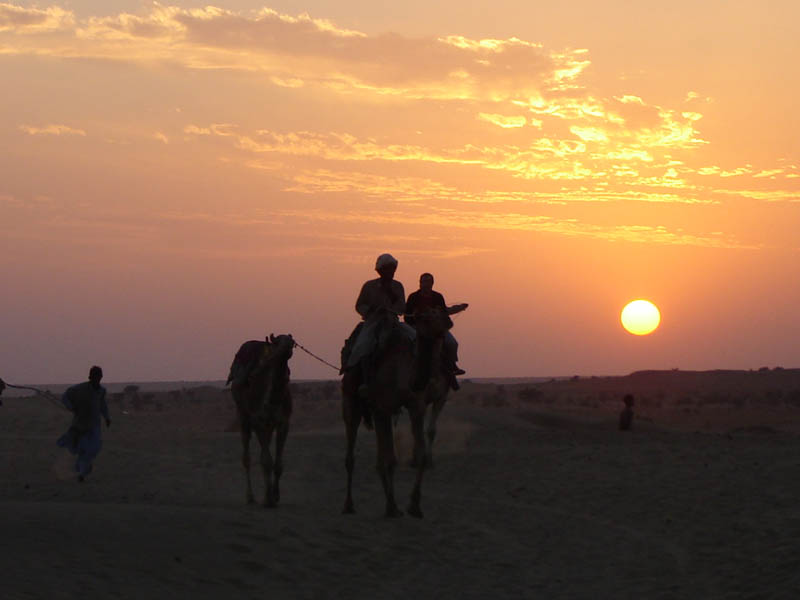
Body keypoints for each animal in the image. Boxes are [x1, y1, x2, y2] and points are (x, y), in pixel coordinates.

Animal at [228, 332, 294, 506]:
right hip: (243, 416)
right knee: (247, 458)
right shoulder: (258, 420)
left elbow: (277, 464)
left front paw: (275, 496)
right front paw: (268, 498)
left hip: (268, 426)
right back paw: (250, 497)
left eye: (292, 341)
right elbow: (266, 461)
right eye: (277, 342)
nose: (286, 346)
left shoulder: (284, 422)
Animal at [340, 308, 454, 516]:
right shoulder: (383, 407)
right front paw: (392, 506)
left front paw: (413, 505)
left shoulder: (417, 405)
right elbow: (390, 459)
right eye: (426, 317)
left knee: (378, 458)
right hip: (351, 401)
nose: (447, 324)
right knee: (351, 454)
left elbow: (419, 450)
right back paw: (348, 504)